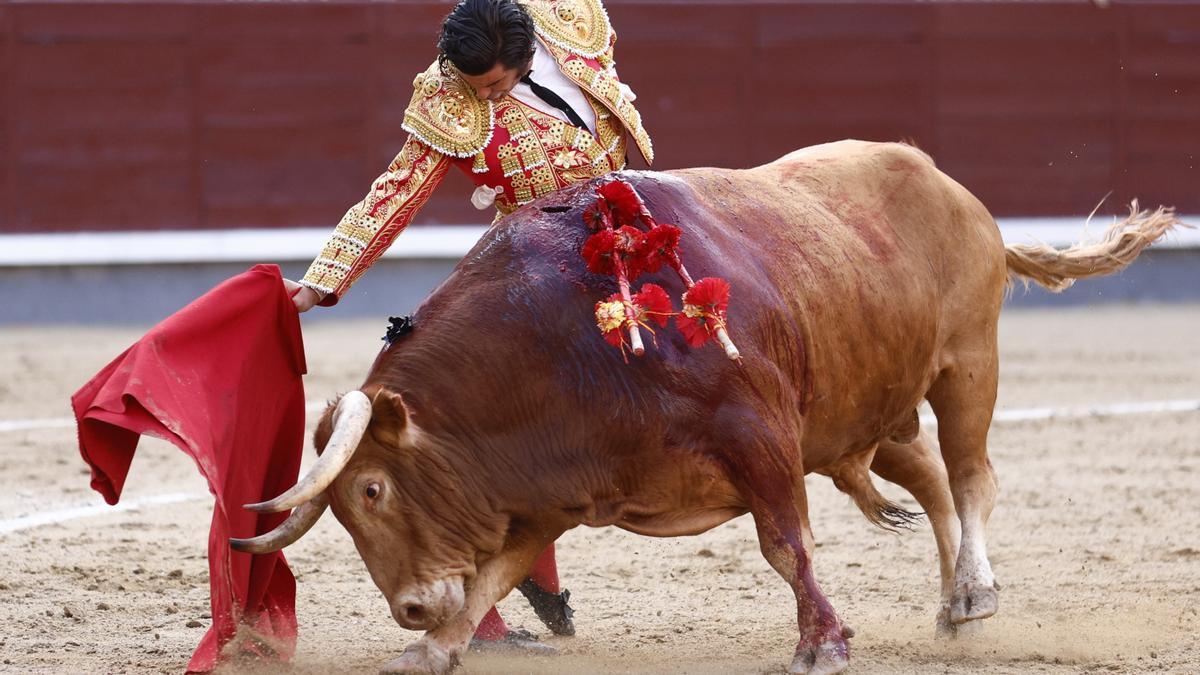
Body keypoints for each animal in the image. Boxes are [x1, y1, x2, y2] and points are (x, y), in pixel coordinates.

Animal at [229, 139, 1176, 667]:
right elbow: (494, 574)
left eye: (372, 489)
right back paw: (951, 607)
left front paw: (821, 645)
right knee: (936, 484)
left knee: (974, 476)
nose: (411, 605)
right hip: (862, 413)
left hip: (968, 364)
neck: (563, 340)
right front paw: (430, 647)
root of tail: (952, 187)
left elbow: (785, 545)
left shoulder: (759, 439)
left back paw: (975, 595)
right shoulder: (542, 495)